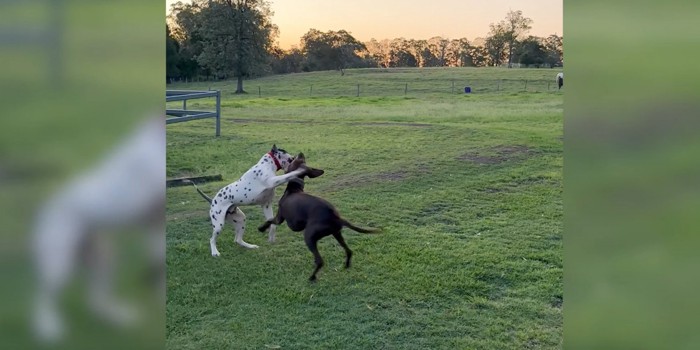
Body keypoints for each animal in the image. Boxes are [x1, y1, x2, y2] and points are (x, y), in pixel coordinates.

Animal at [258, 152, 378, 280]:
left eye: (298, 160)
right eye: (302, 160)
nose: (300, 153)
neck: (294, 188)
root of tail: (337, 218)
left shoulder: (280, 218)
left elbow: (270, 221)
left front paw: (261, 228)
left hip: (309, 236)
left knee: (321, 261)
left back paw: (312, 277)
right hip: (337, 233)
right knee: (349, 251)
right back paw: (346, 266)